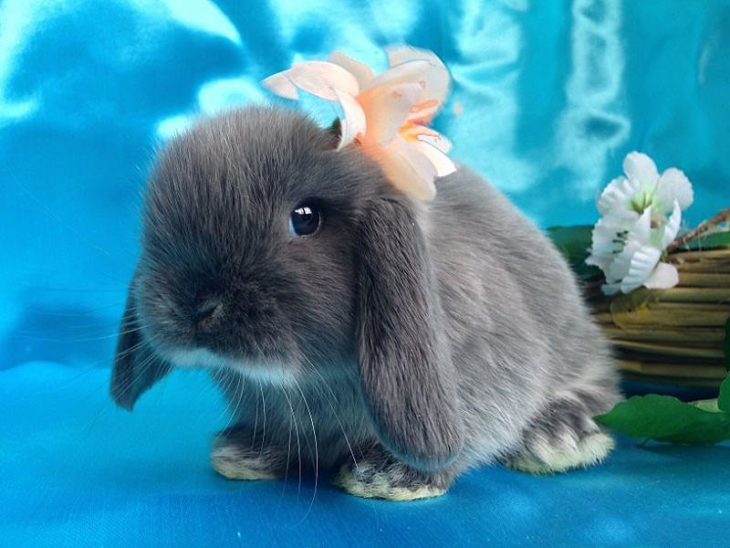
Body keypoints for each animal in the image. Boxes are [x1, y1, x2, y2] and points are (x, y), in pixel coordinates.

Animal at [111, 106, 620, 501]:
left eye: (305, 218)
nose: (194, 308)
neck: (312, 380)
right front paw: (246, 451)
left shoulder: (490, 376)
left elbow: (477, 432)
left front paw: (390, 477)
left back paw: (560, 435)